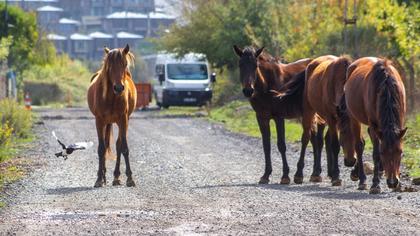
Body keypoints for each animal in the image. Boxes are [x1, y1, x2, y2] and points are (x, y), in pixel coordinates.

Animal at [88, 44, 138, 188]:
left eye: (125, 64)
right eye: (109, 66)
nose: (119, 88)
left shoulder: (123, 119)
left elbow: (124, 148)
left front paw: (130, 179)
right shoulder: (99, 120)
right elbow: (101, 149)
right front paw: (99, 179)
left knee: (118, 145)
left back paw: (116, 177)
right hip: (107, 122)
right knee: (105, 145)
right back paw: (104, 176)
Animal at [338, 57, 406, 194]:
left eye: (400, 152)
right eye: (383, 153)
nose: (392, 182)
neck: (386, 85)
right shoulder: (374, 124)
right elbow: (375, 153)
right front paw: (375, 184)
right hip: (354, 117)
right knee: (359, 145)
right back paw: (362, 179)